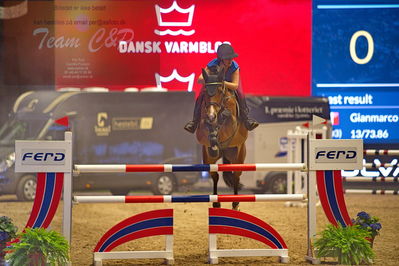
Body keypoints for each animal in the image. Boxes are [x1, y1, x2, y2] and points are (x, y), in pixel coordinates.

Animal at [196, 68, 248, 210]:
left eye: (220, 90)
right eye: (206, 92)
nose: (211, 115)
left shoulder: (232, 123)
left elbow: (226, 116)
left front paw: (220, 118)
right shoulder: (202, 125)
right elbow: (207, 125)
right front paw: (213, 139)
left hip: (238, 156)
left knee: (236, 176)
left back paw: (235, 203)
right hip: (209, 159)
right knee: (215, 176)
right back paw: (216, 202)